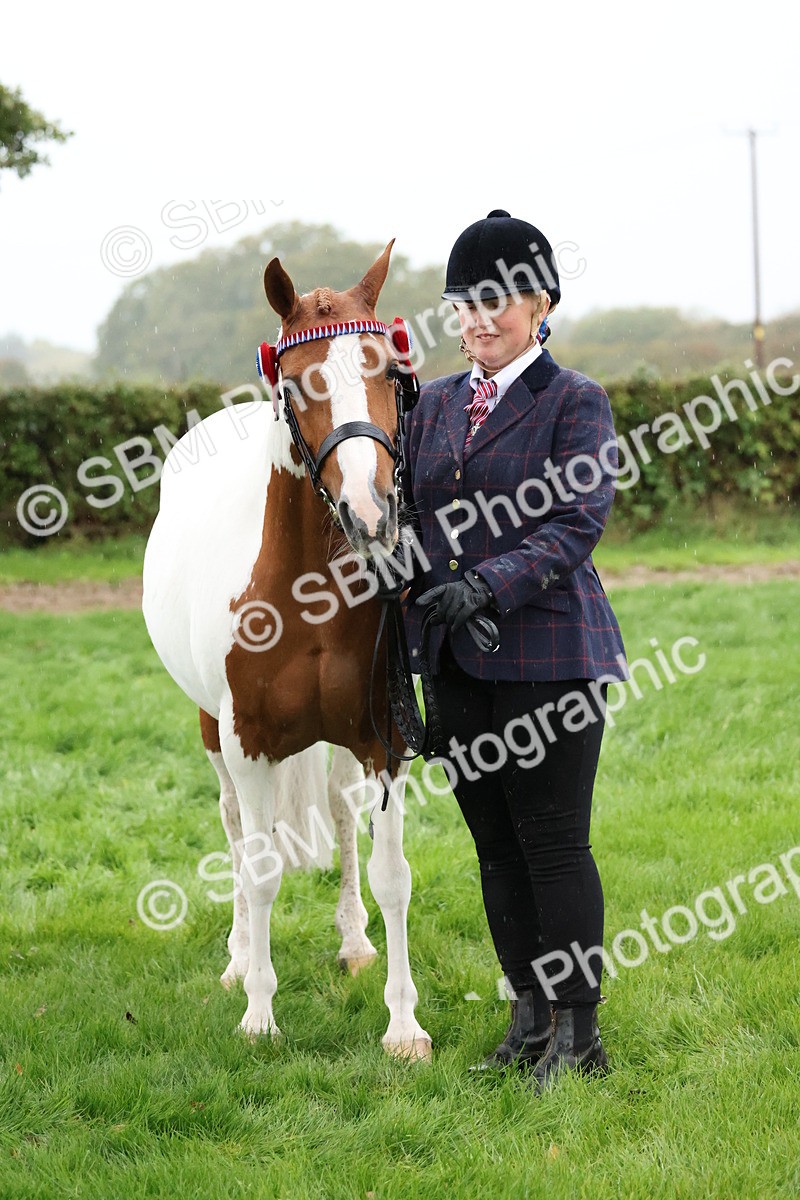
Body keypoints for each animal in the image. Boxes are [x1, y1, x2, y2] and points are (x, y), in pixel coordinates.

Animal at [142, 242, 432, 1060]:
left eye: (390, 373)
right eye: (300, 385)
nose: (372, 511)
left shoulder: (384, 739)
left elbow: (391, 873)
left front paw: (403, 1025)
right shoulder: (249, 744)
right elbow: (263, 867)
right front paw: (260, 1014)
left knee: (336, 810)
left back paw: (354, 943)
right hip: (213, 731)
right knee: (237, 831)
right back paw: (241, 960)